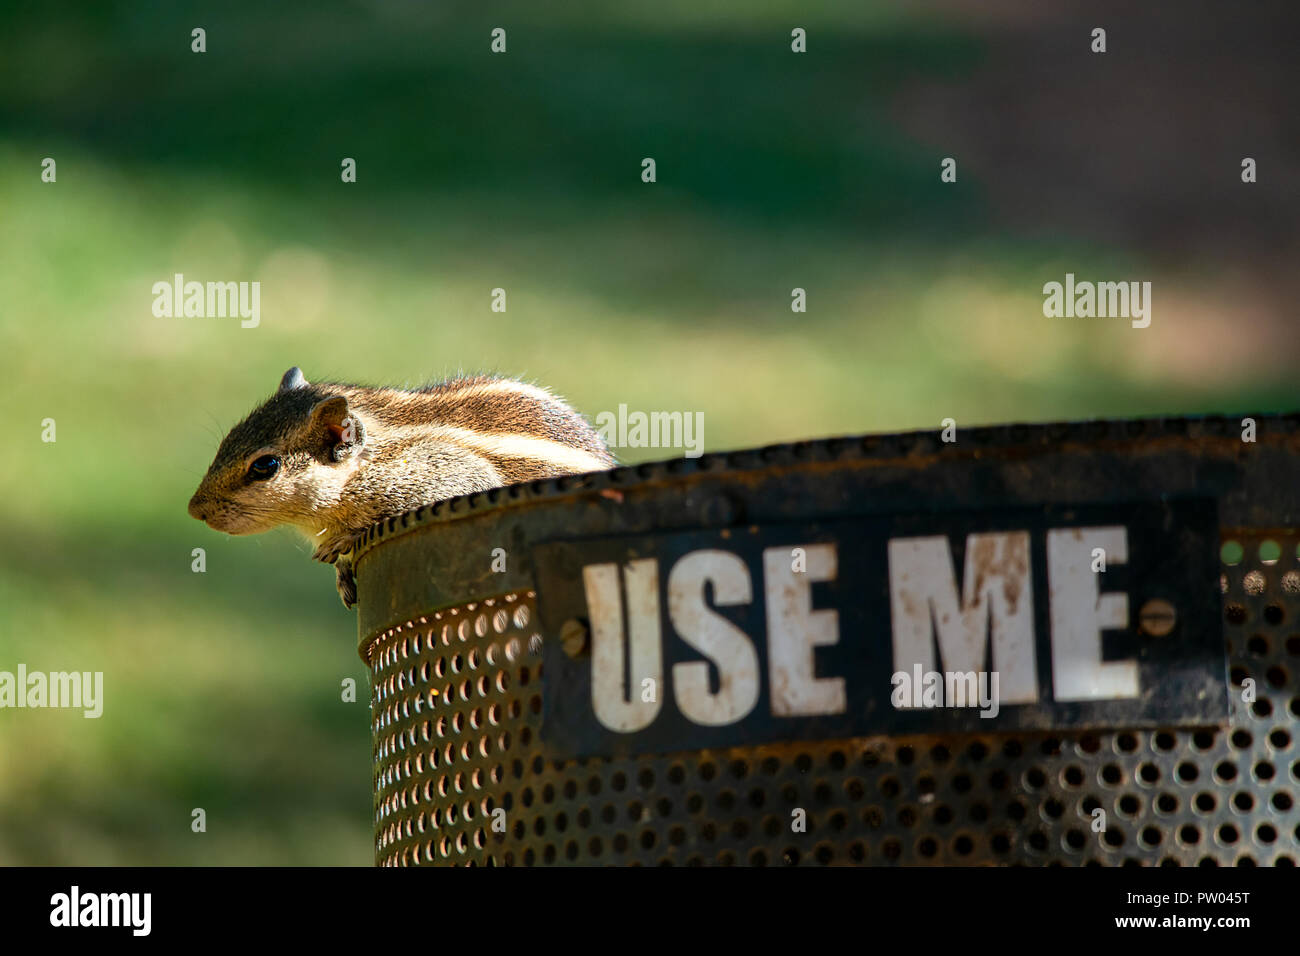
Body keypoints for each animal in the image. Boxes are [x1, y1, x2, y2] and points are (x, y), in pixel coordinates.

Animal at [189, 366, 618, 606]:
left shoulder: (447, 475)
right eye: (229, 438)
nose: (195, 509)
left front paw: (347, 539)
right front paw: (342, 572)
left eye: (266, 466)